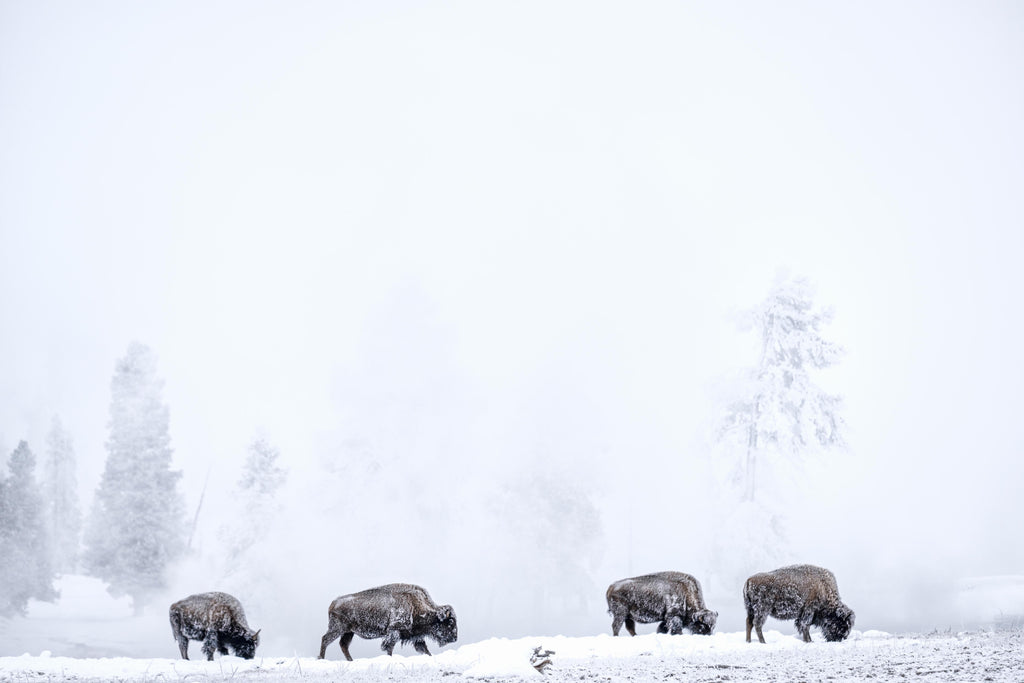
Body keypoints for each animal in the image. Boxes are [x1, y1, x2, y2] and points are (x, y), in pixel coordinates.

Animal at [317, 581, 458, 663]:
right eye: (450, 622)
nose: (455, 638)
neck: (415, 604)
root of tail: (334, 602)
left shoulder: (416, 637)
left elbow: (424, 649)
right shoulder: (393, 632)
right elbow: (389, 647)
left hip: (348, 632)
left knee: (343, 645)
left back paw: (351, 660)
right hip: (337, 628)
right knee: (325, 639)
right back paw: (321, 658)